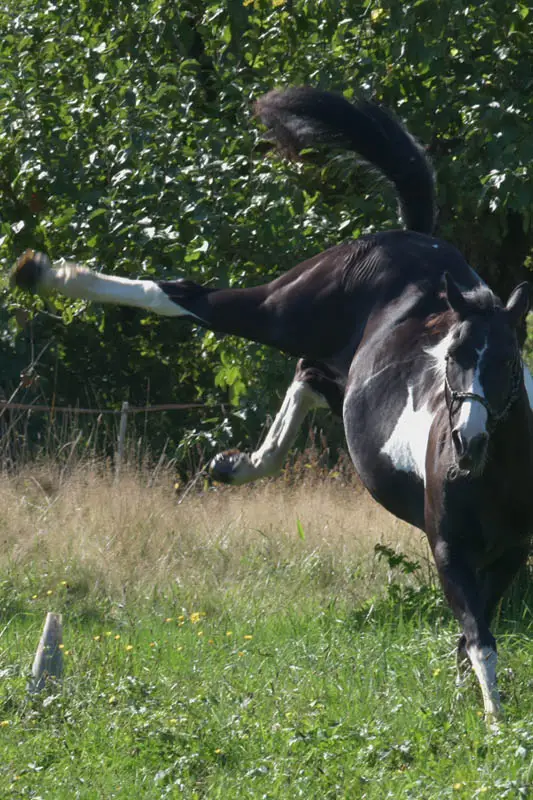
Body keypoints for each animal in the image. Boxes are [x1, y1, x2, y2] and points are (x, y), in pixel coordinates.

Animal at [12, 86, 533, 720]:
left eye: (507, 364)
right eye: (451, 356)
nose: (466, 444)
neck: (493, 474)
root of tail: (409, 238)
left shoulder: (508, 555)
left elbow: (473, 635)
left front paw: (475, 706)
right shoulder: (449, 549)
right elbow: (479, 639)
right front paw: (495, 722)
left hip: (336, 369)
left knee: (305, 377)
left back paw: (238, 465)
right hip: (285, 309)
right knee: (191, 298)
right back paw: (45, 273)